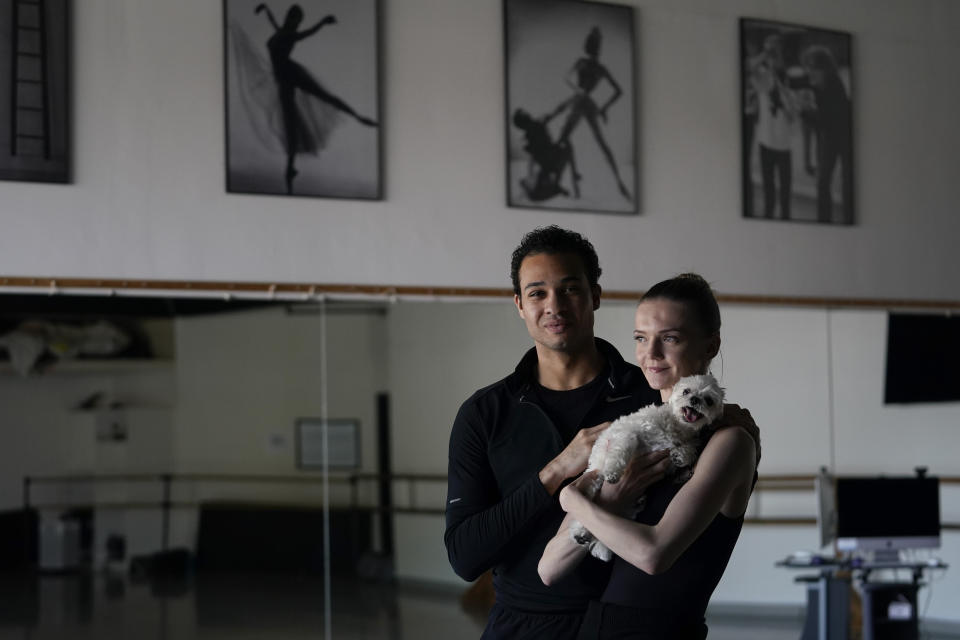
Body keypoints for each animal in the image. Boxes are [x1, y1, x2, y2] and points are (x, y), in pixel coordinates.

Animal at [568, 372, 724, 564]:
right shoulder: (627, 433)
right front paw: (612, 473)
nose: (694, 399)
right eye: (686, 391)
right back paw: (581, 533)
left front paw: (680, 456)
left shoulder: (686, 441)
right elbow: (619, 451)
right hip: (594, 480)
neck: (677, 426)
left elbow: (688, 448)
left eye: (709, 400)